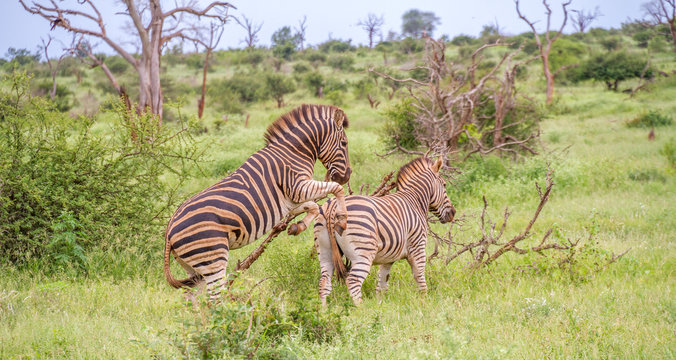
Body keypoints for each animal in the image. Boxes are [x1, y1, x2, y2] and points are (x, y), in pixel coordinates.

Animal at [316, 156, 454, 306]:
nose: (453, 213)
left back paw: (323, 311)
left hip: (325, 251)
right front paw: (424, 303)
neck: (415, 201)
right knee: (353, 281)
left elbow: (382, 285)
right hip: (363, 252)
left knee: (324, 282)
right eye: (444, 185)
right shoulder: (418, 247)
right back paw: (362, 309)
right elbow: (420, 279)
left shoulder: (388, 258)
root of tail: (333, 206)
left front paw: (380, 307)